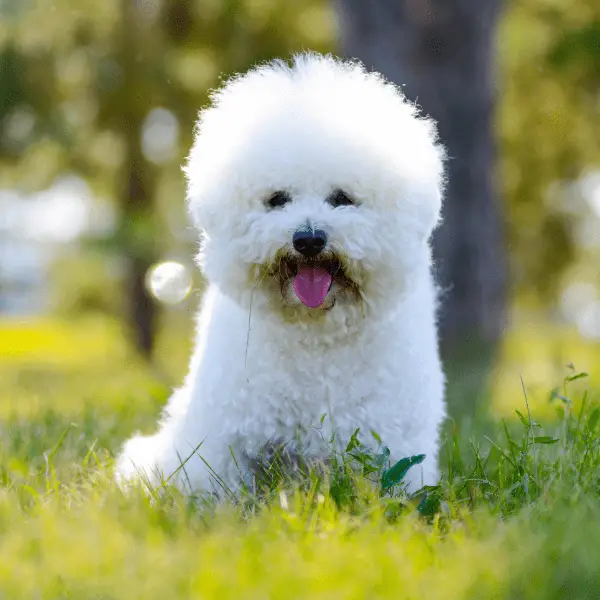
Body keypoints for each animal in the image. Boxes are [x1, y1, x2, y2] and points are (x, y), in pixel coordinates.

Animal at [116, 52, 446, 496]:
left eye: (342, 198)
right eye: (277, 200)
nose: (308, 239)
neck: (315, 335)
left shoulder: (392, 439)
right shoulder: (226, 433)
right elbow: (219, 486)